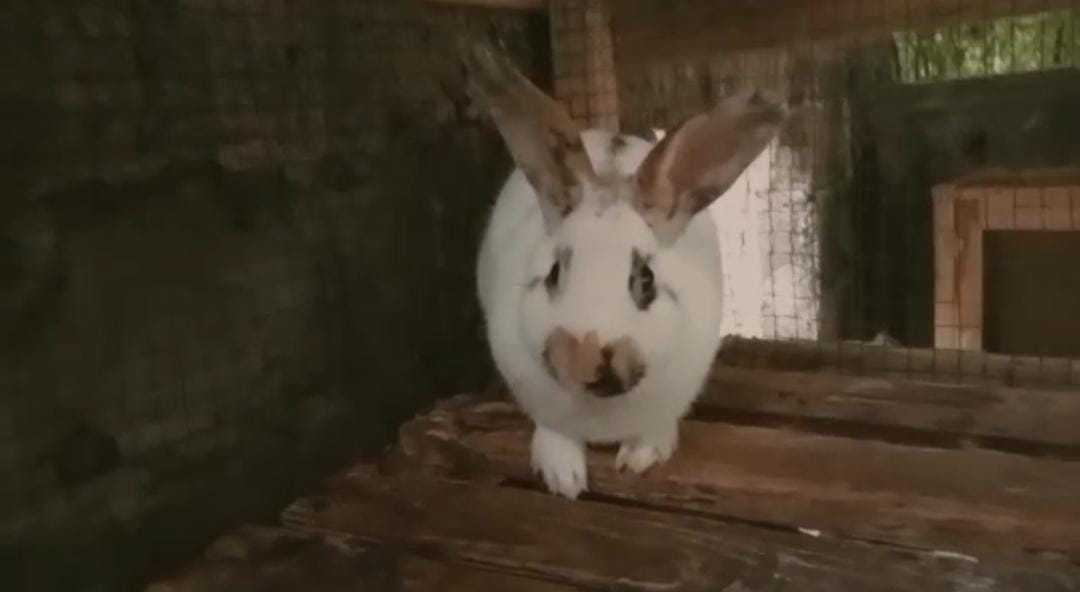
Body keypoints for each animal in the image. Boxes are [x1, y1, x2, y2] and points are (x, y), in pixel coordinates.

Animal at [467, 45, 792, 499]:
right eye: (553, 273)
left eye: (645, 281)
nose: (583, 358)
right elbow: (554, 431)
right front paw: (563, 478)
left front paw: (640, 458)